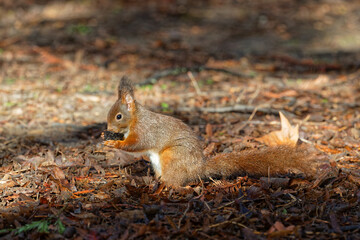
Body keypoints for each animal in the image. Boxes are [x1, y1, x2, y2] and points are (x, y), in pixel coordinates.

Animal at [104, 78, 316, 187]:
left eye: (118, 116)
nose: (108, 129)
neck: (136, 118)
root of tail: (198, 169)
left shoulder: (146, 130)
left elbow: (136, 144)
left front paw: (113, 143)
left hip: (172, 156)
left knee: (176, 182)